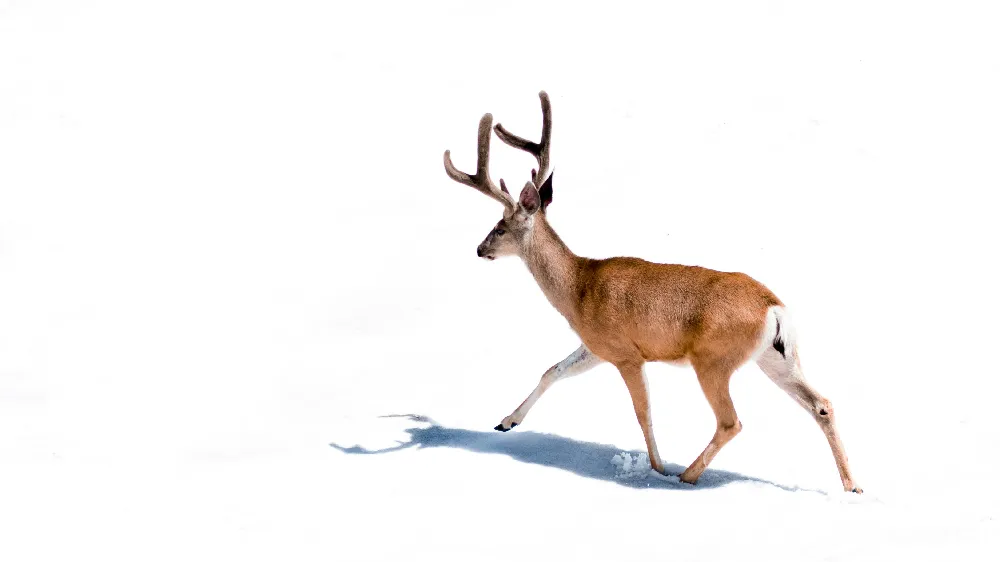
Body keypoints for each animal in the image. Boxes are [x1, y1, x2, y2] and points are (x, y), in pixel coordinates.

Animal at [442, 91, 862, 493]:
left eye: (499, 227)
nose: (479, 249)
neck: (579, 288)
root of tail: (773, 308)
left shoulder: (626, 353)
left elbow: (643, 413)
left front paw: (657, 468)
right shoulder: (598, 346)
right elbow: (551, 370)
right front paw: (506, 421)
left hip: (714, 359)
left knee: (731, 421)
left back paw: (685, 476)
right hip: (776, 357)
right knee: (821, 404)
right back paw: (852, 485)